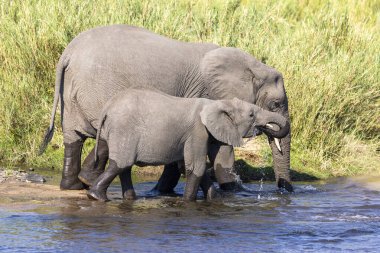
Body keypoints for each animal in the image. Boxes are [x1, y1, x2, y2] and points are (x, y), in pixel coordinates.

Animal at [87, 89, 288, 202]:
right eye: (251, 115)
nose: (266, 128)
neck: (217, 103)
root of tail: (106, 109)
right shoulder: (197, 131)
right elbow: (196, 167)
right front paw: (189, 202)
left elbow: (191, 165)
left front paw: (215, 199)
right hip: (124, 130)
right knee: (121, 164)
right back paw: (96, 197)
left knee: (124, 167)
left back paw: (128, 199)